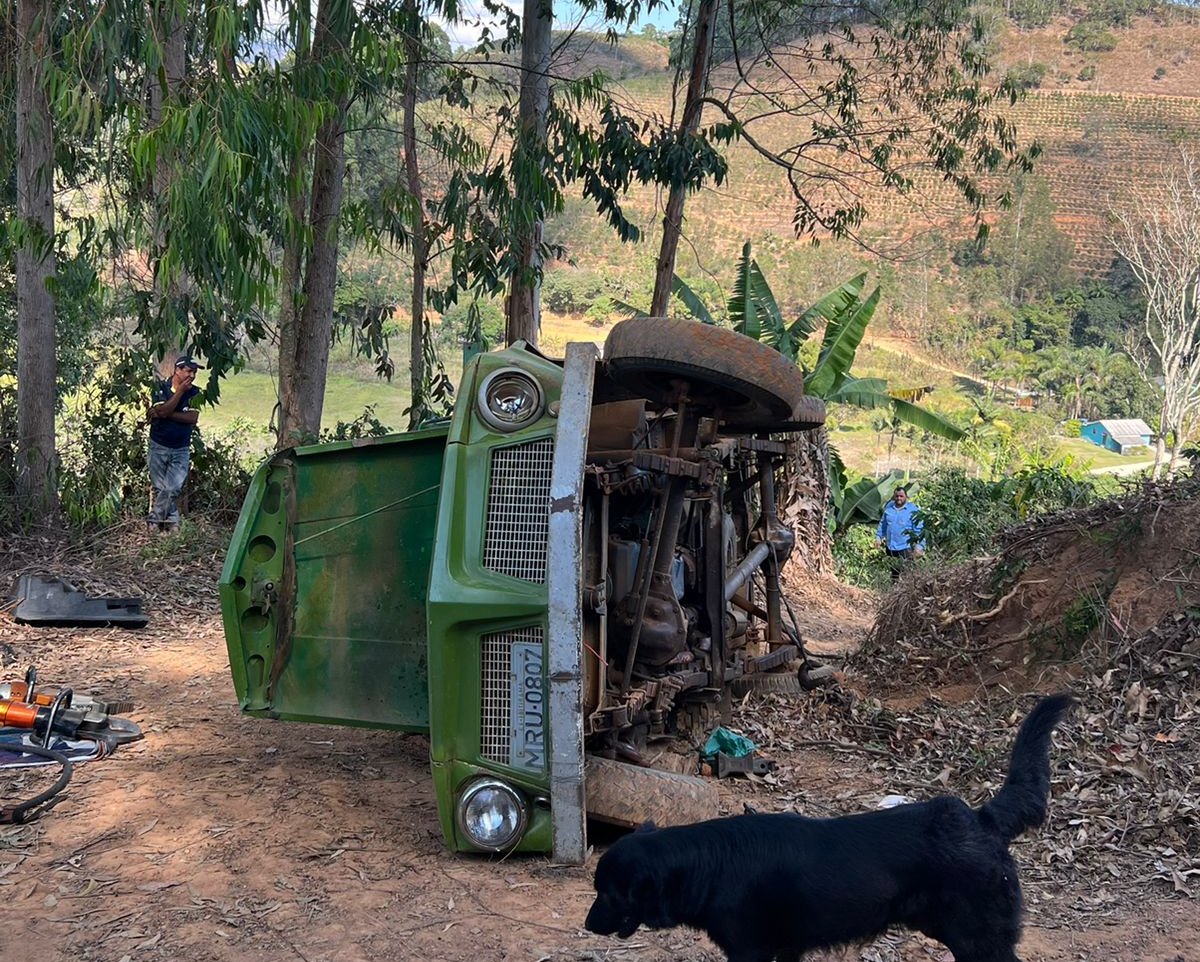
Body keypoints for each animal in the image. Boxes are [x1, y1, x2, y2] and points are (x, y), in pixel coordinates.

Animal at [585, 690, 1075, 959]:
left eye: (609, 893)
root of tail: (980, 819)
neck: (711, 864)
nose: (588, 926)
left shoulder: (749, 951)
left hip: (979, 939)